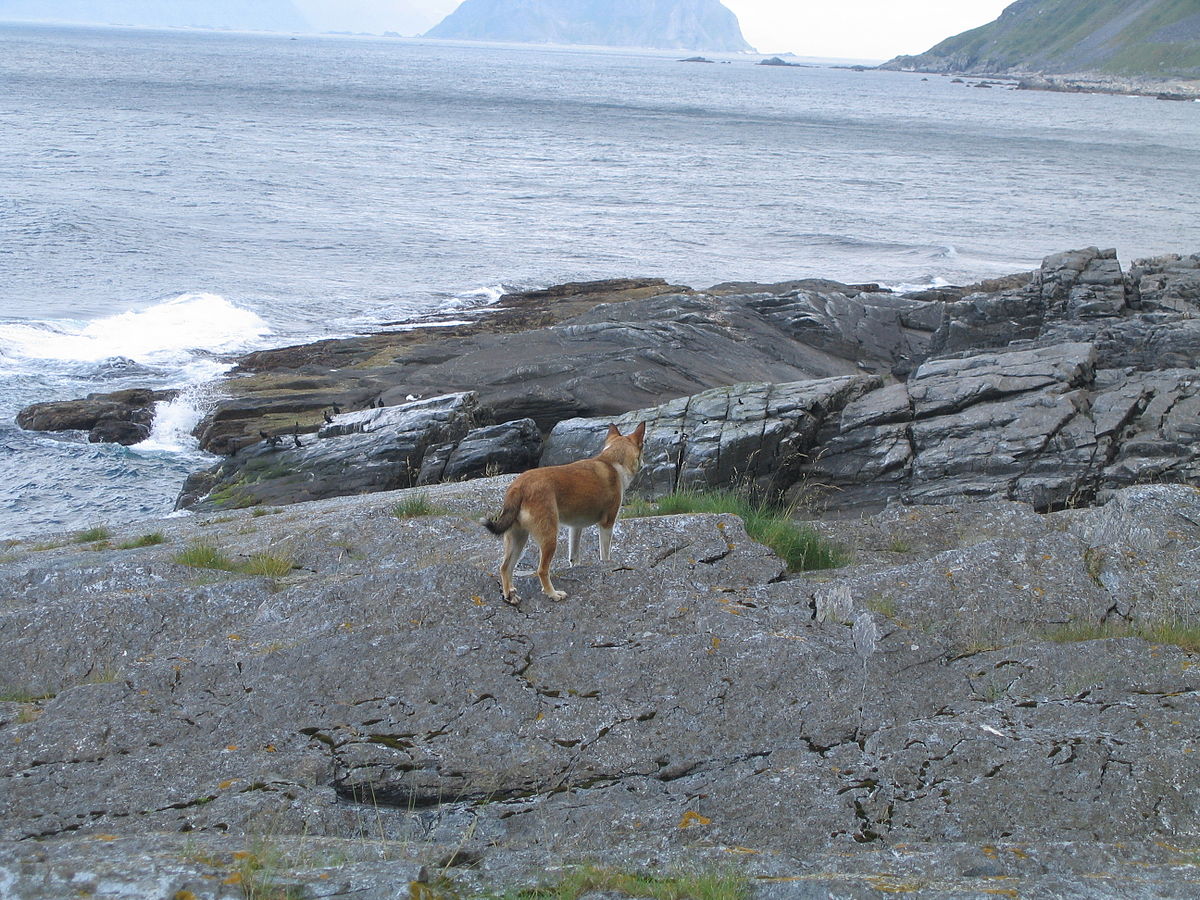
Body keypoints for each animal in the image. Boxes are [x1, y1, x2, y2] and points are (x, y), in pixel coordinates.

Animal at [480, 422, 648, 607]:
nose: (644, 464)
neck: (612, 462)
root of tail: (519, 486)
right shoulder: (607, 524)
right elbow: (605, 555)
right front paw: (606, 566)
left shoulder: (575, 527)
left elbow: (574, 557)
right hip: (549, 537)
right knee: (541, 570)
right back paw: (553, 594)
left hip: (518, 538)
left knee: (505, 567)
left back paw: (510, 595)